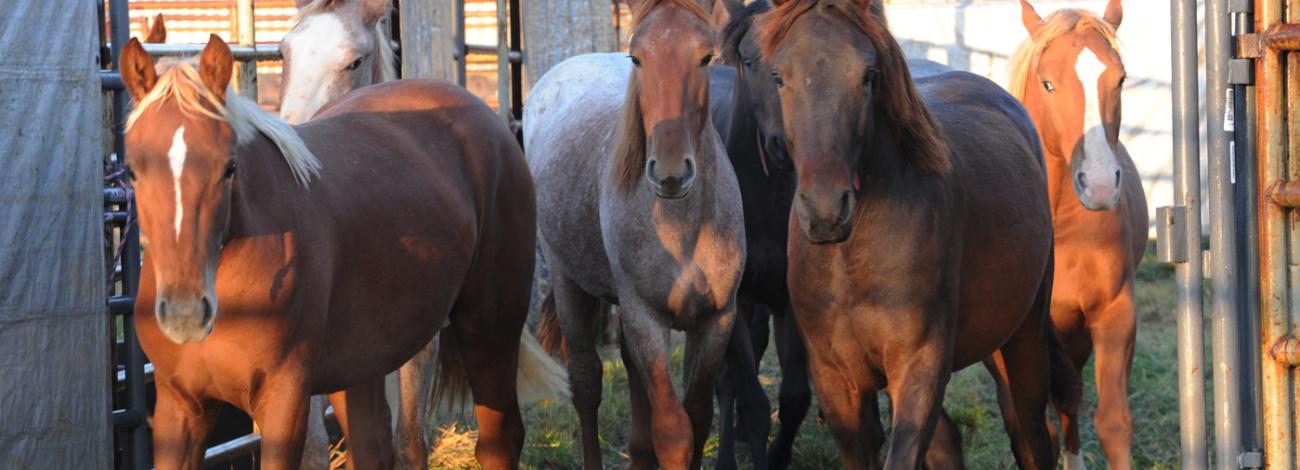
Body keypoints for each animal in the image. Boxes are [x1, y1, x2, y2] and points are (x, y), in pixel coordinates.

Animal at [117, 35, 565, 469]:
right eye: (133, 169)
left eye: (229, 167)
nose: (184, 313)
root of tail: (484, 115)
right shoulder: (180, 407)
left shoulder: (284, 400)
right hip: (362, 365)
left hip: (488, 330)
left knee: (498, 442)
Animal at [523, 0, 746, 465]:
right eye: (637, 58)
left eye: (706, 57)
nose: (671, 171)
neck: (683, 228)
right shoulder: (645, 319)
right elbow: (673, 430)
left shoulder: (717, 320)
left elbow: (698, 419)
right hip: (569, 282)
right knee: (586, 383)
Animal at [754, 0, 1080, 467]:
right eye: (779, 76)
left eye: (868, 74)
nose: (825, 211)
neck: (851, 258)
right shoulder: (837, 382)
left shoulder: (919, 366)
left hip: (1023, 339)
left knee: (1032, 436)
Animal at [1010, 2, 1147, 468]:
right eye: (1047, 83)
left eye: (1120, 79)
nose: (1101, 185)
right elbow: (1032, 432)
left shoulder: (1114, 312)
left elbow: (1114, 423)